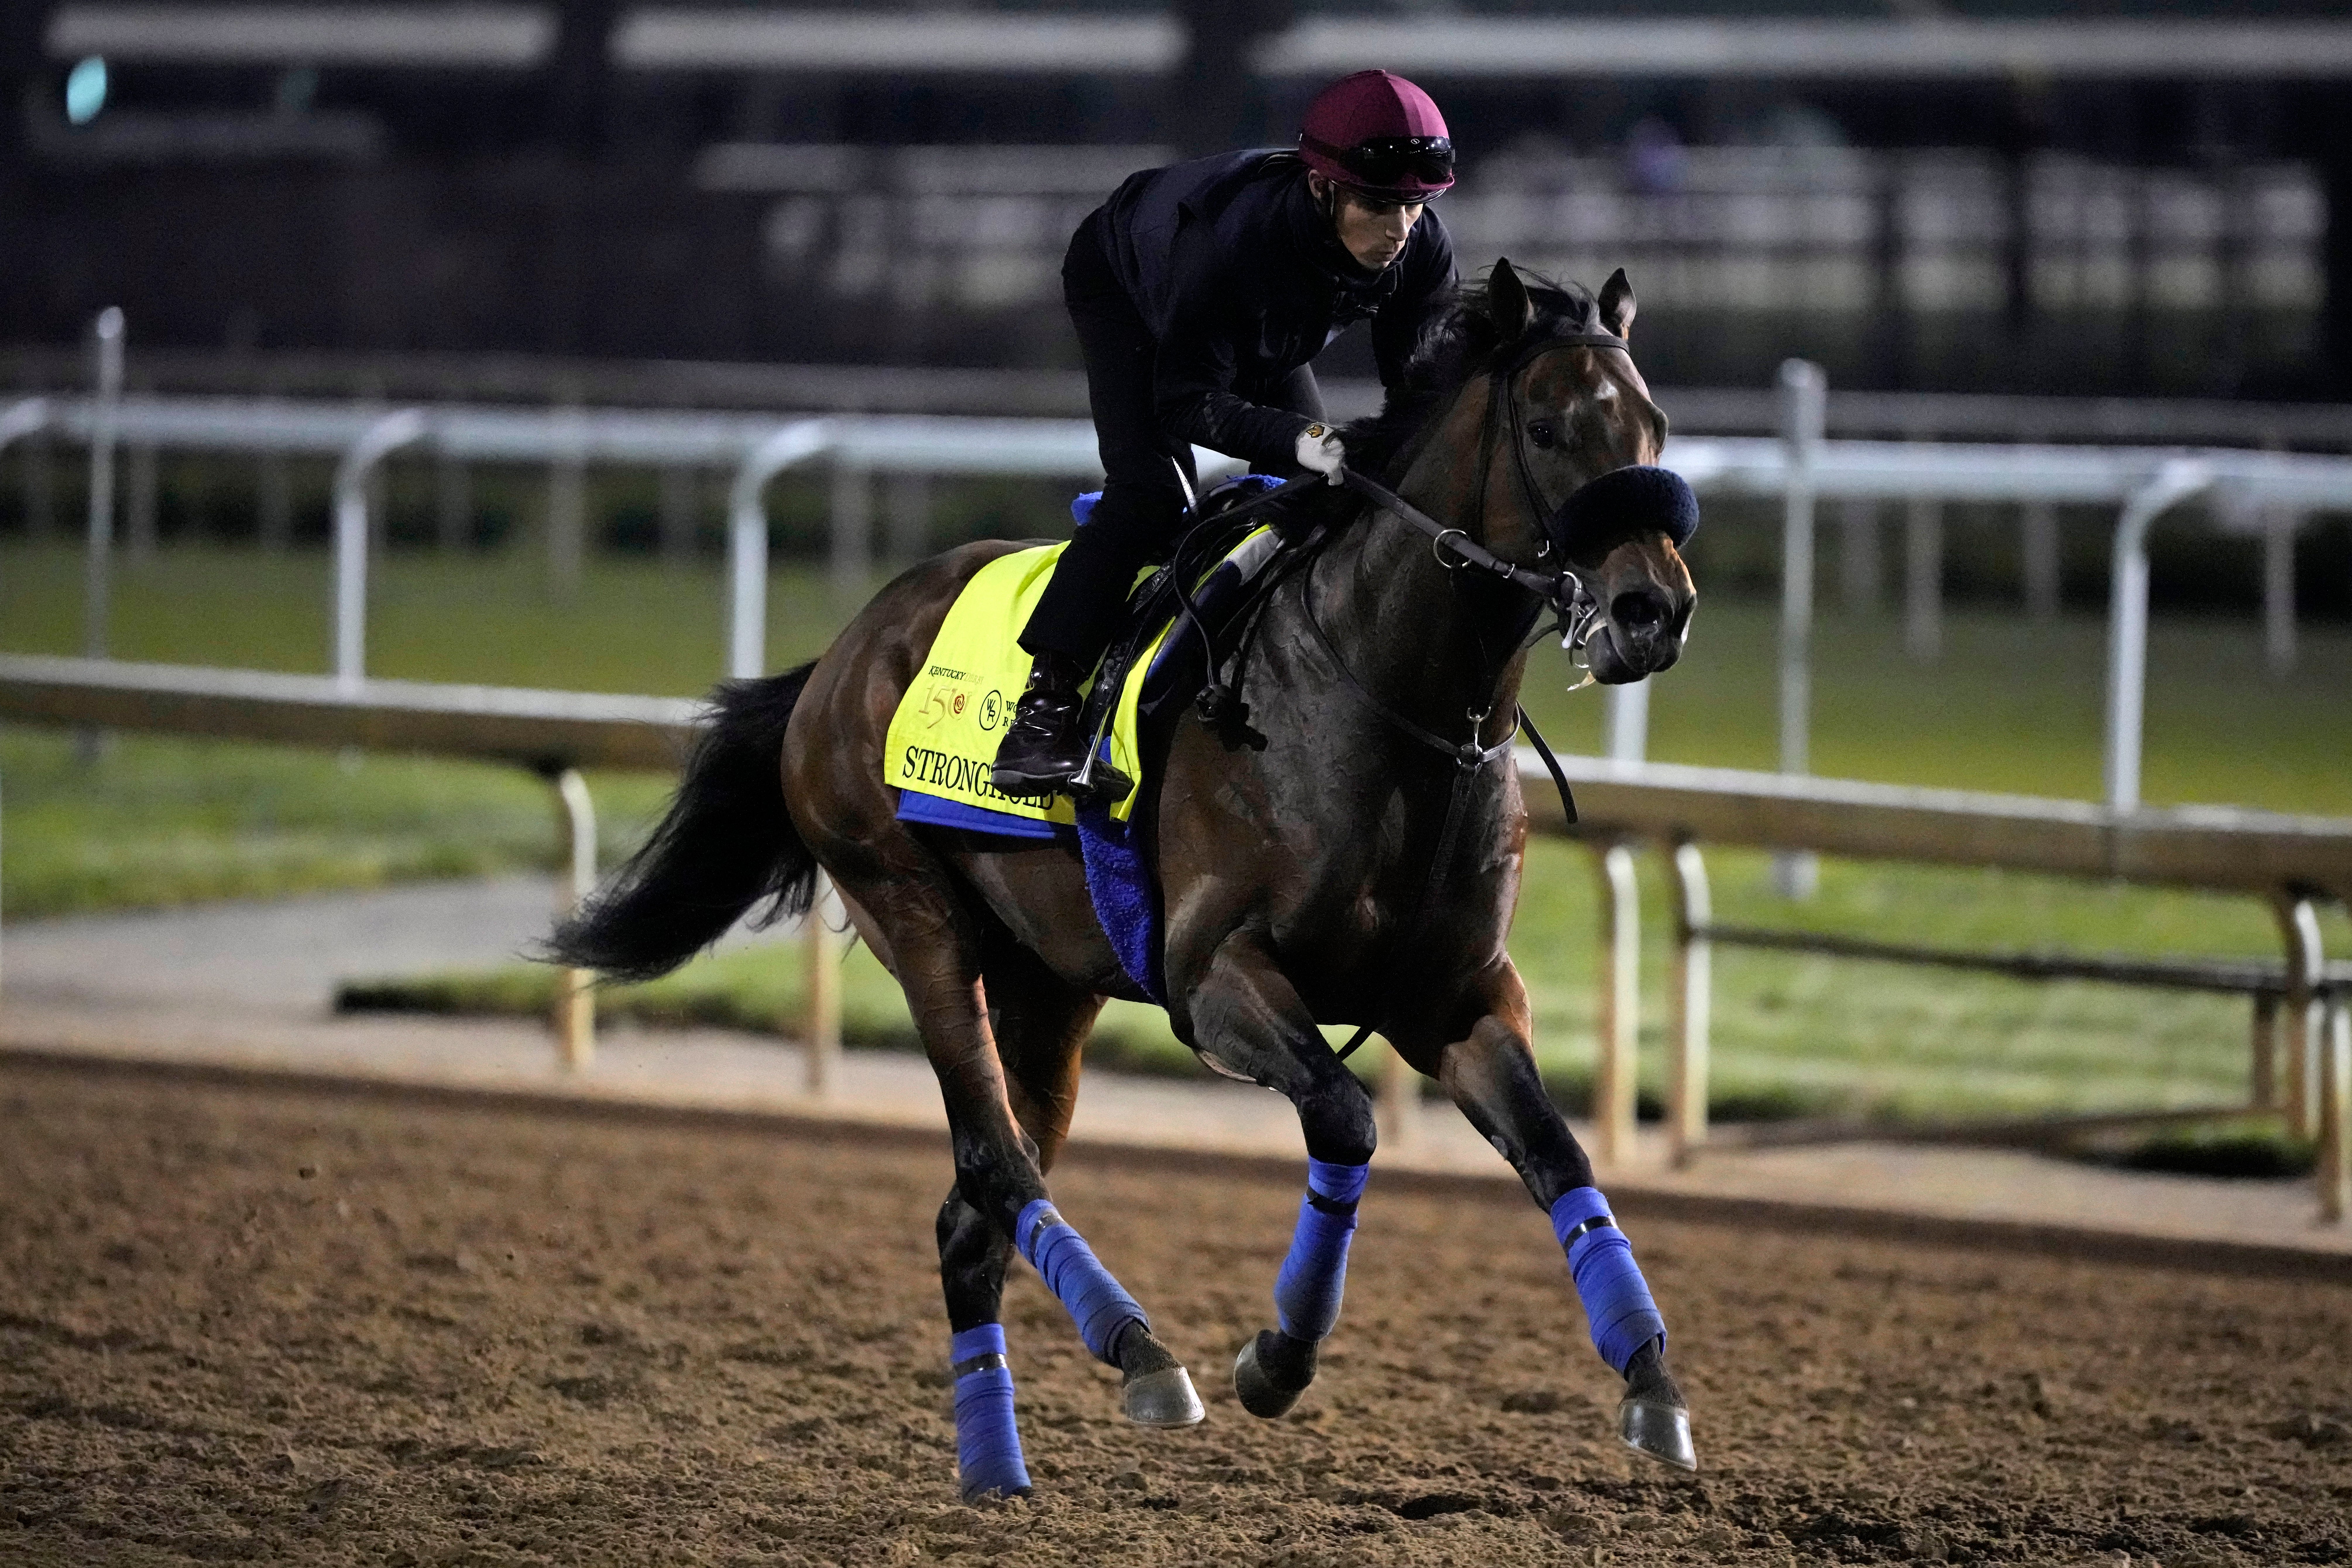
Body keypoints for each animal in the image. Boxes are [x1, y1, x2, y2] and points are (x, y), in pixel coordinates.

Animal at [551, 257, 1701, 1501]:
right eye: (1544, 428)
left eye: (1652, 425)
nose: (1653, 609)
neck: (1385, 700)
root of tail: (842, 653)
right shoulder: (1211, 977)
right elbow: (1343, 1116)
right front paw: (1274, 1355)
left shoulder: (1453, 995)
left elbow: (1556, 1150)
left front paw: (1650, 1380)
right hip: (911, 910)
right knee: (996, 1162)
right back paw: (1141, 1354)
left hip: (1048, 988)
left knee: (970, 1213)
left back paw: (996, 1462)